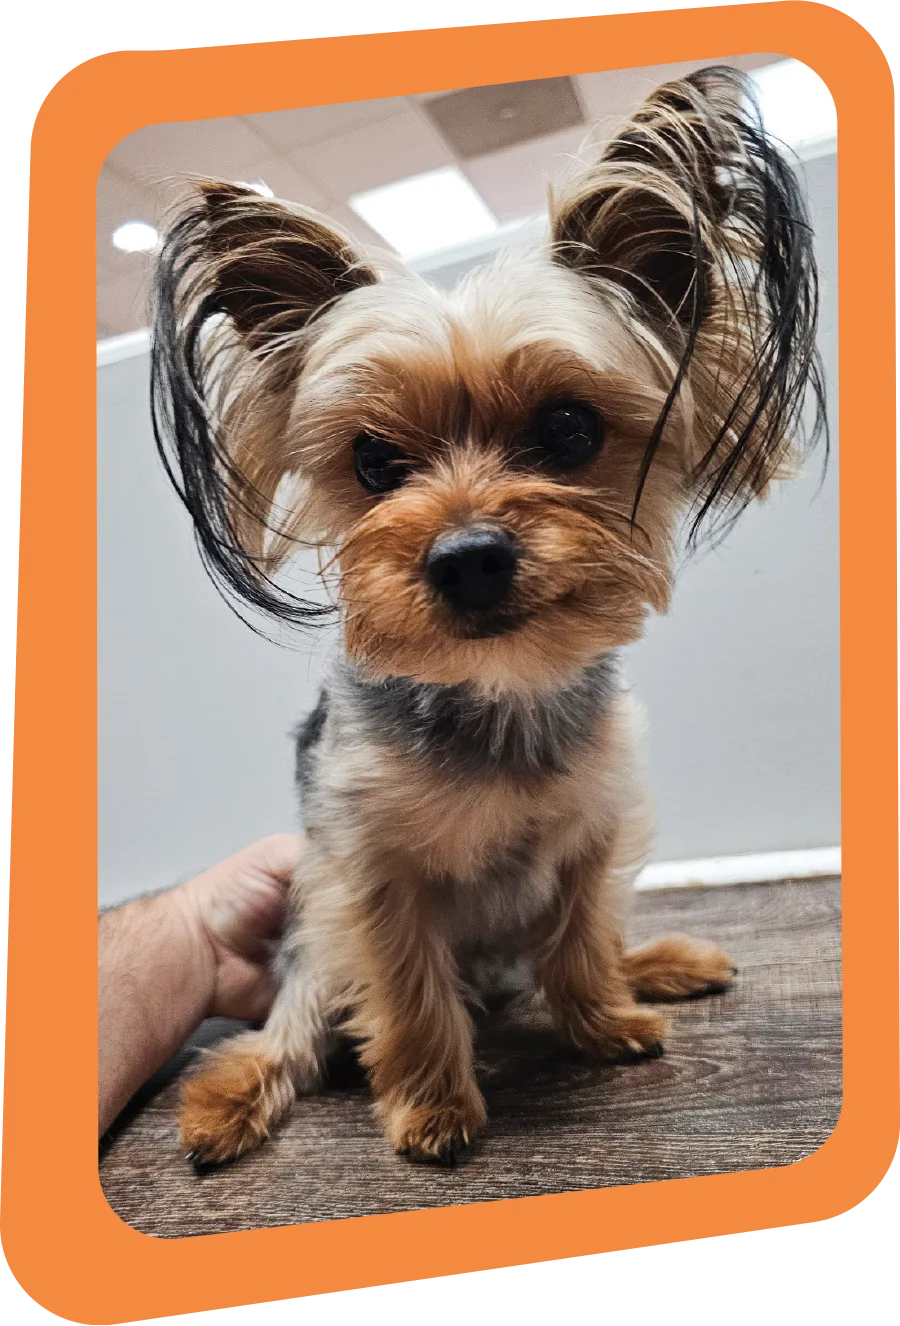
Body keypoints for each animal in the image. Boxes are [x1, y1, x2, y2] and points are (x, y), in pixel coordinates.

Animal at [149, 67, 832, 1166]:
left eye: (570, 429)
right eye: (375, 460)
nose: (467, 557)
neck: (502, 689)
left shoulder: (594, 828)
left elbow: (582, 935)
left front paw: (603, 1022)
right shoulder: (365, 873)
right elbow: (406, 989)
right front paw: (432, 1106)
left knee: (573, 946)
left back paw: (654, 966)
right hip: (307, 935)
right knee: (295, 1024)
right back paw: (231, 1099)